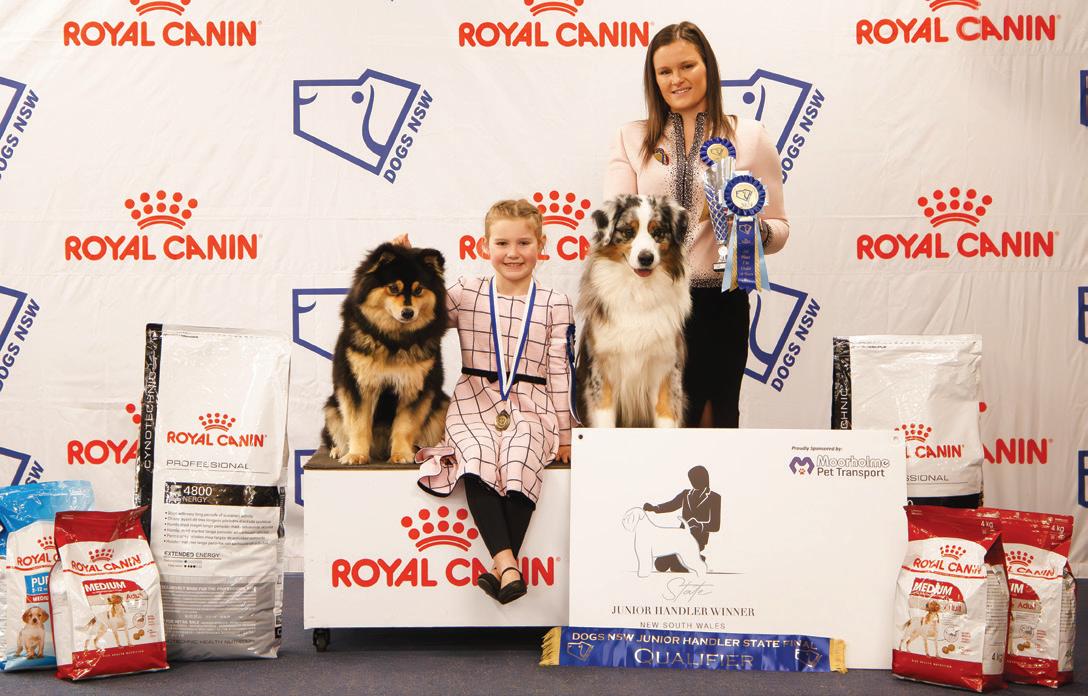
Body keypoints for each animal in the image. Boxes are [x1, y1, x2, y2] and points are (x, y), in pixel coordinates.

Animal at [322, 242, 450, 465]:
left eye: (418, 290)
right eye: (393, 288)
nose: (408, 312)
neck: (393, 341)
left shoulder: (413, 386)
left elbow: (404, 426)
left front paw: (402, 454)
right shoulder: (358, 385)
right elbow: (358, 424)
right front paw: (356, 455)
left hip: (441, 406)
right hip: (331, 408)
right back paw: (338, 450)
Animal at [576, 195, 690, 428]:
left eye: (658, 232)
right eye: (628, 231)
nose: (646, 258)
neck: (638, 291)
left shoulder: (665, 368)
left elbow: (666, 416)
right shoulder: (602, 370)